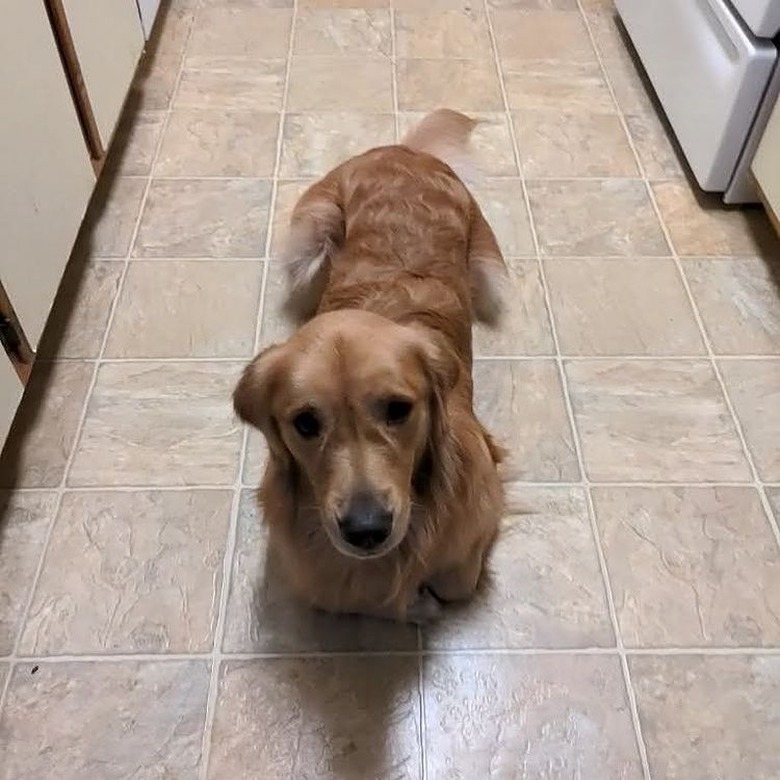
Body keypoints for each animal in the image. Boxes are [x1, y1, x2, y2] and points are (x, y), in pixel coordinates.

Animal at [233, 108, 506, 620]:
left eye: (399, 409)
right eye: (305, 423)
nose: (366, 530)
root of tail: (402, 150)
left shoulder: (482, 500)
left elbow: (454, 582)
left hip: (488, 259)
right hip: (311, 237)